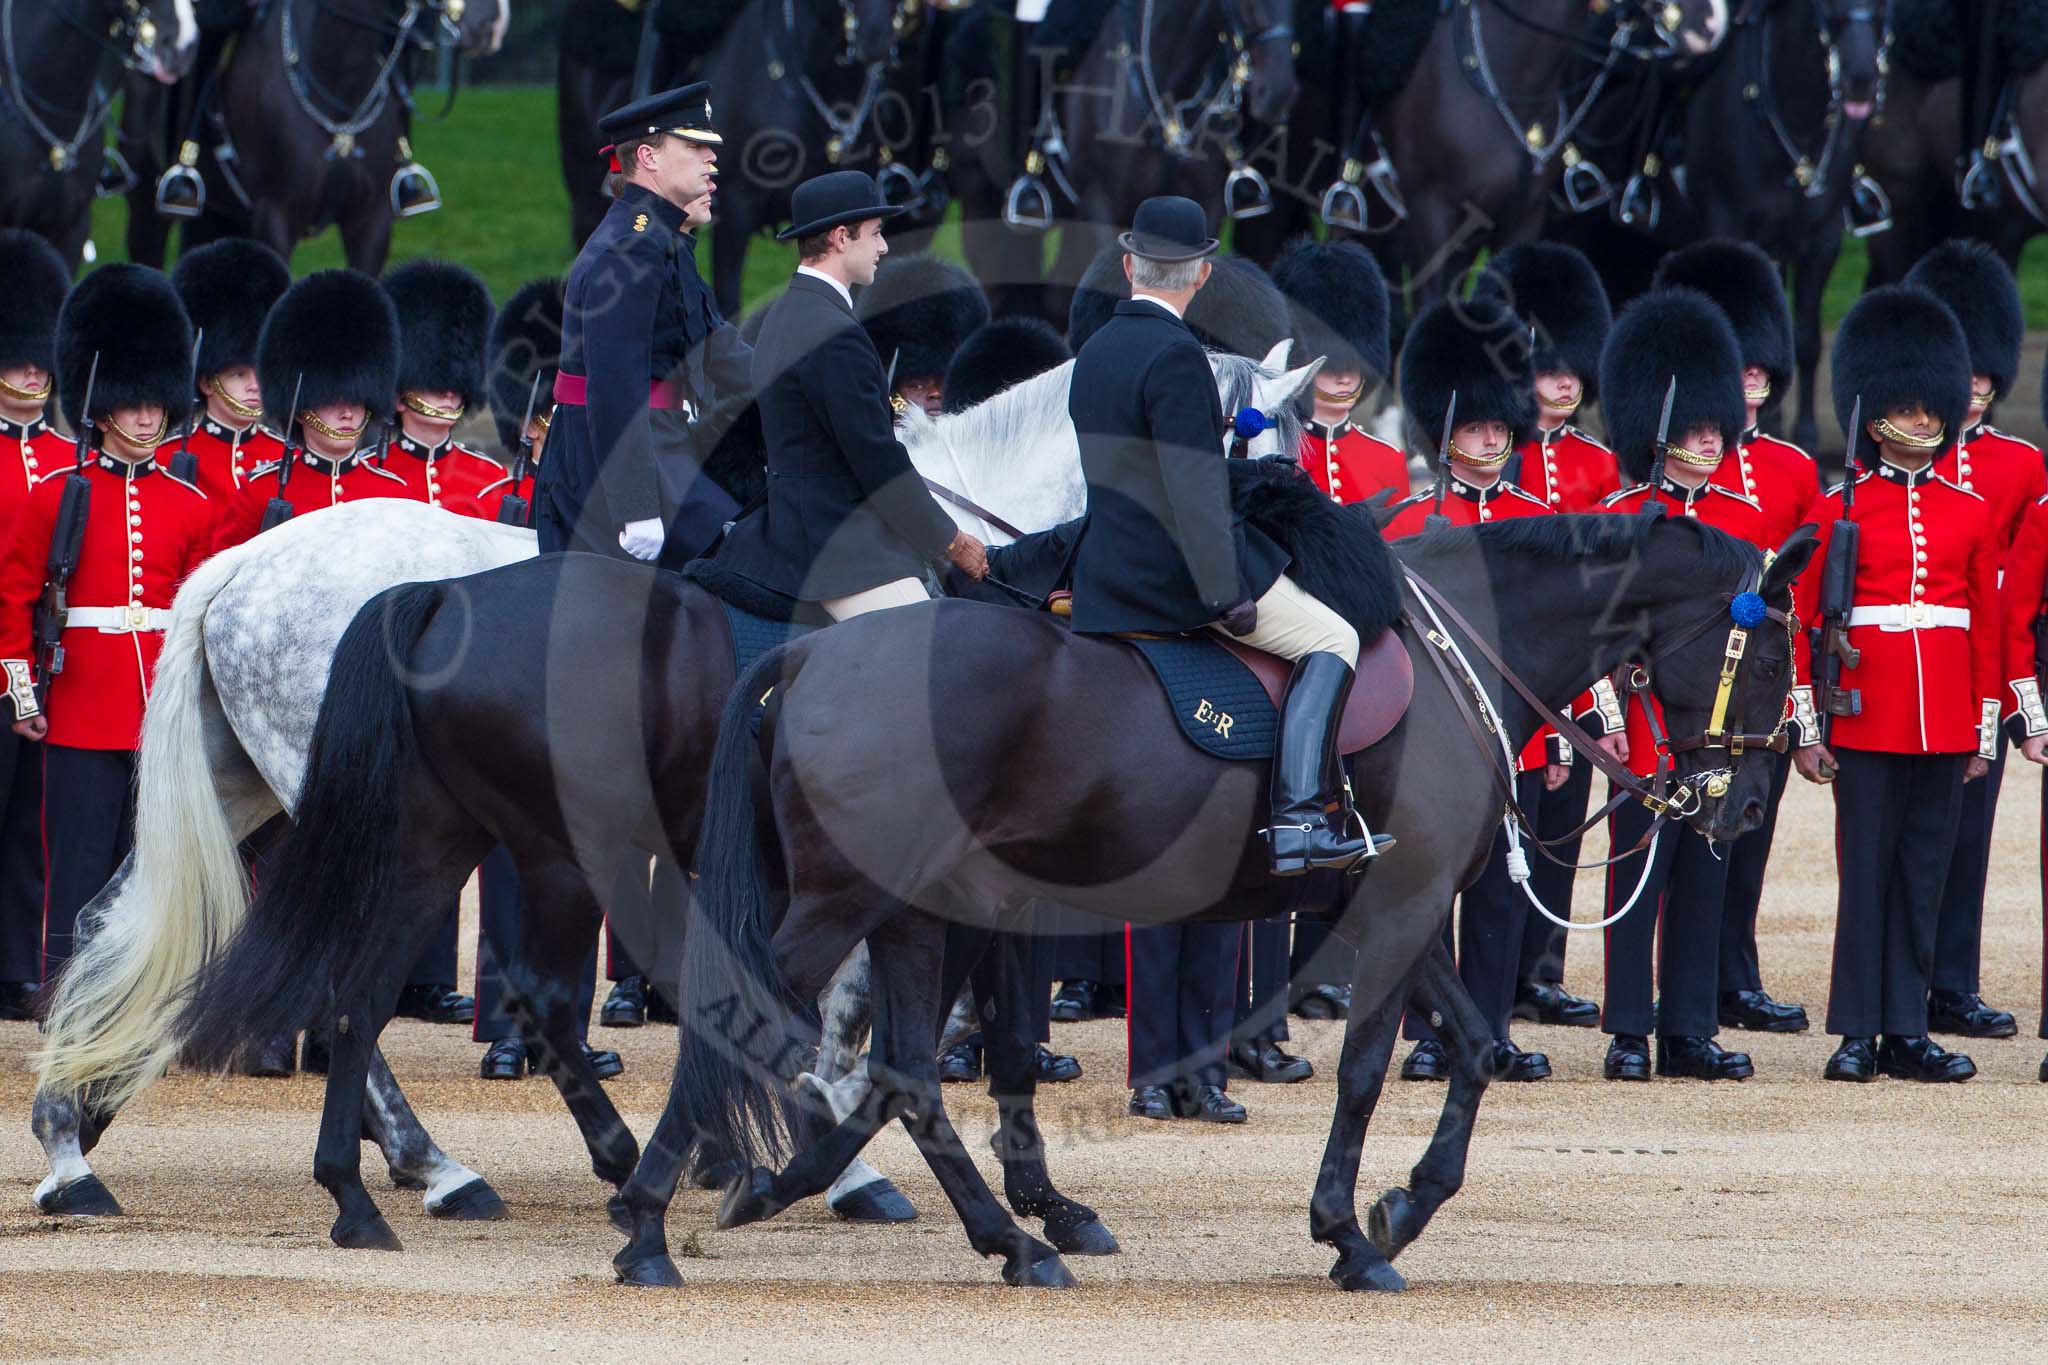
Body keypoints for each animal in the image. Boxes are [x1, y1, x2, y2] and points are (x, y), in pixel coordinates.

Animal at [610, 511, 1826, 1293]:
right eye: (1773, 653)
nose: (1743, 805)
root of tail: (815, 655)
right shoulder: (1402, 904)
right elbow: (1366, 1068)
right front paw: (1352, 1233)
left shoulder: (1384, 900)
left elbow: (1477, 1049)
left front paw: (1398, 1208)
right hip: (848, 904)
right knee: (750, 1016)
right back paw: (649, 1222)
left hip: (907, 911)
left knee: (903, 1074)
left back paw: (1003, 1241)